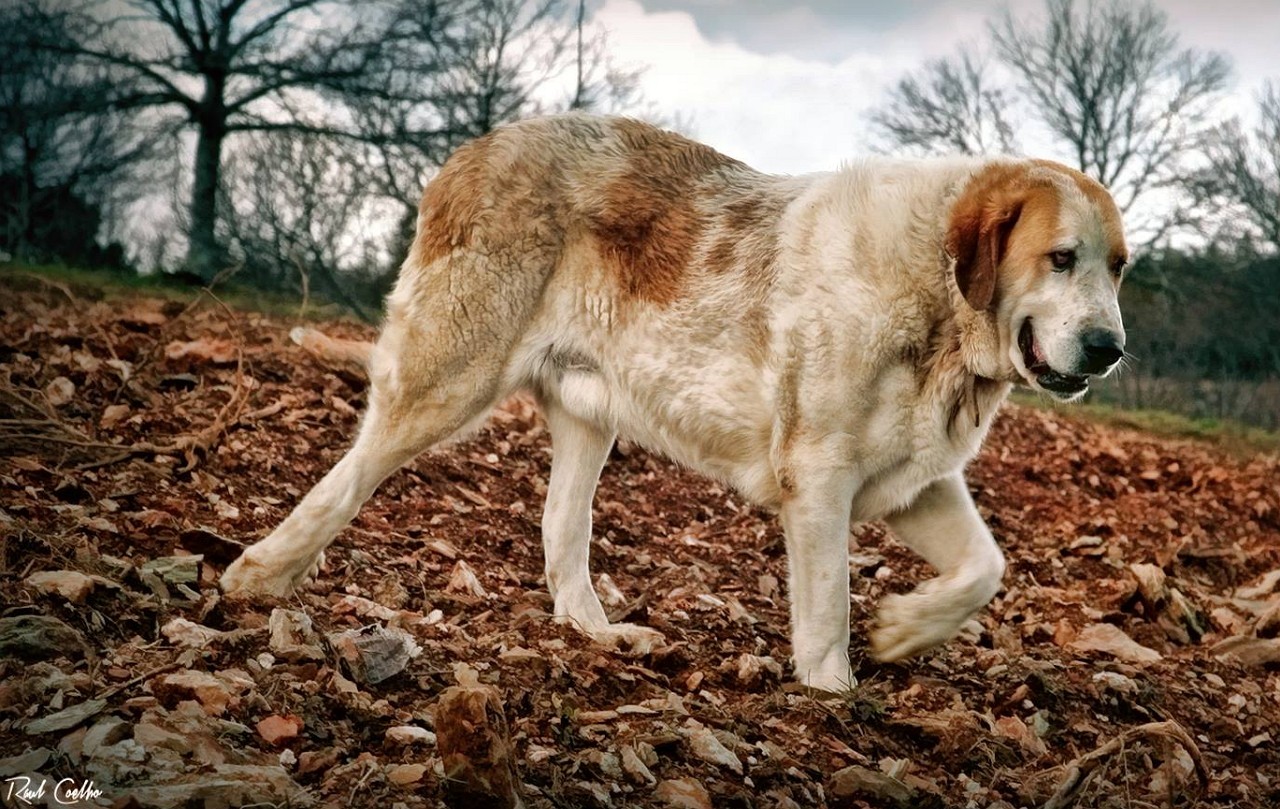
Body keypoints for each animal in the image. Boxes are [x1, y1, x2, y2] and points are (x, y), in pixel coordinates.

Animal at [222, 113, 1131, 691]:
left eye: (1117, 266)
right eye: (1060, 258)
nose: (1109, 347)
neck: (939, 304)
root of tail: (475, 148)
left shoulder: (915, 483)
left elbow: (985, 567)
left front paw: (905, 629)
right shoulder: (821, 480)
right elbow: (827, 609)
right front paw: (833, 694)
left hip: (587, 421)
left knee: (561, 534)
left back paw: (597, 634)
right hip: (447, 380)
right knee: (349, 475)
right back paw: (259, 573)